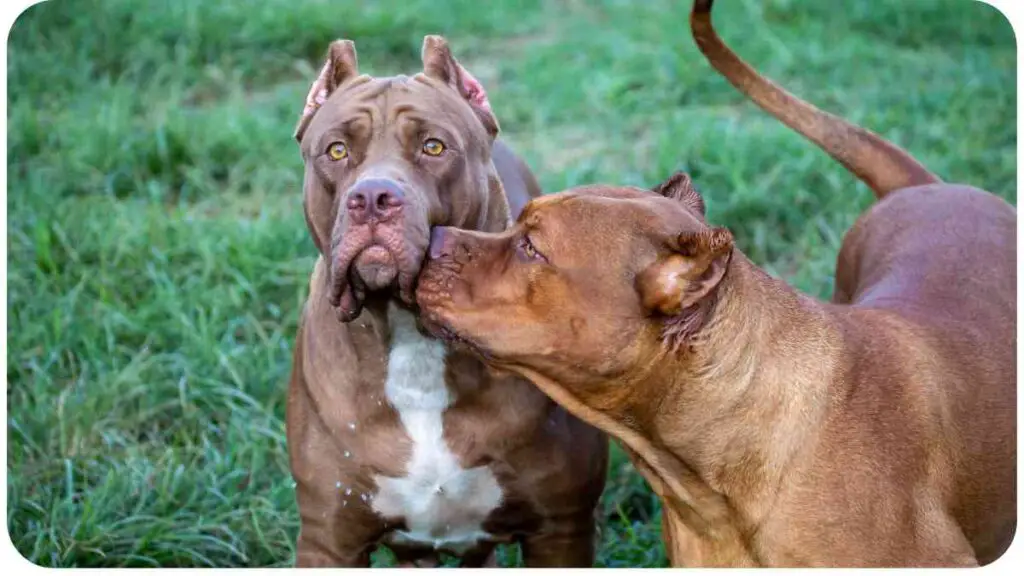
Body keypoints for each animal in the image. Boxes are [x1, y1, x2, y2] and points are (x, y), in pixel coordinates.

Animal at [284, 38, 606, 565]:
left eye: (433, 146)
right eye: (336, 150)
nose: (372, 198)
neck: (412, 340)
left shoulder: (561, 529)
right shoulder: (329, 540)